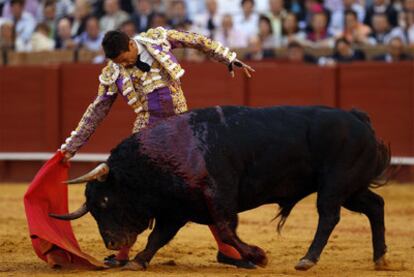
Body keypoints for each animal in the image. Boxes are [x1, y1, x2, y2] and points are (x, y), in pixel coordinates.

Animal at [50, 105, 390, 270]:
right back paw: (380, 259)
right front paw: (138, 260)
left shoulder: (218, 199)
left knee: (328, 215)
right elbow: (159, 236)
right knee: (375, 205)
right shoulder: (177, 209)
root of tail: (358, 118)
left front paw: (257, 256)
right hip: (352, 188)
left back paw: (308, 259)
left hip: (334, 184)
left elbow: (227, 230)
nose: (110, 243)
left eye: (105, 201)